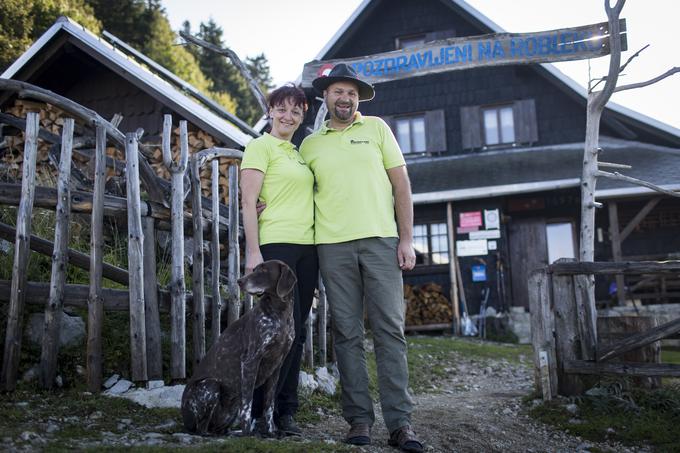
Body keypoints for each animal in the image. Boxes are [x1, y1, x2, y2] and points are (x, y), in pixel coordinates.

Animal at [182, 260, 296, 436]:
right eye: (254, 269)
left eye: (264, 270)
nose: (240, 281)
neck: (280, 313)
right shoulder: (250, 362)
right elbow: (248, 405)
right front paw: (249, 433)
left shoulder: (276, 367)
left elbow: (269, 405)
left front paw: (271, 431)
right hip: (210, 386)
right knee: (201, 428)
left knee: (219, 428)